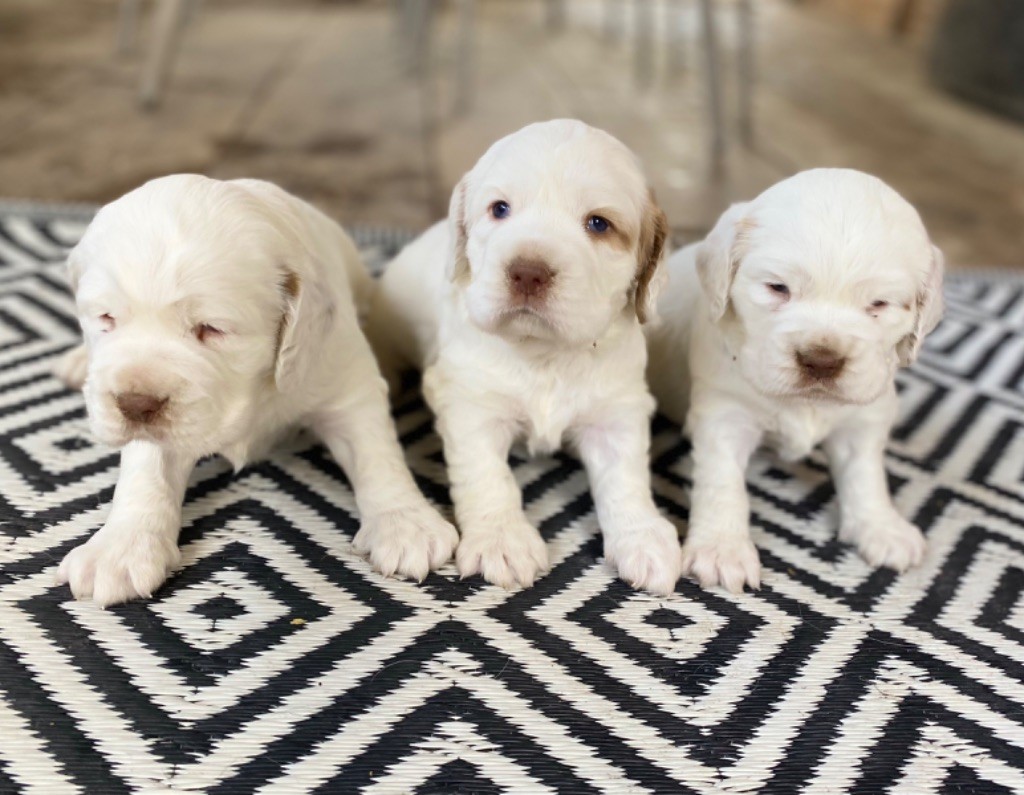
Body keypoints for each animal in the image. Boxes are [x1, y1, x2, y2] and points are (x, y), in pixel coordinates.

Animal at [54, 174, 458, 606]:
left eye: (211, 328)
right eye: (106, 318)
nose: (134, 404)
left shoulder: (345, 378)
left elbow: (376, 453)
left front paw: (406, 524)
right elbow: (147, 468)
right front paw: (120, 547)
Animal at [368, 116, 679, 590]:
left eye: (598, 224)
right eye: (500, 209)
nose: (528, 271)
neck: (543, 354)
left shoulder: (617, 410)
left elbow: (626, 476)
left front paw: (643, 537)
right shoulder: (470, 403)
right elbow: (488, 475)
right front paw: (502, 541)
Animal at [647, 165, 942, 590]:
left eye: (879, 304)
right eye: (777, 288)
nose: (821, 360)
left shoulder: (864, 418)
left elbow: (866, 473)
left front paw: (882, 528)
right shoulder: (725, 413)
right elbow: (723, 481)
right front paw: (722, 550)